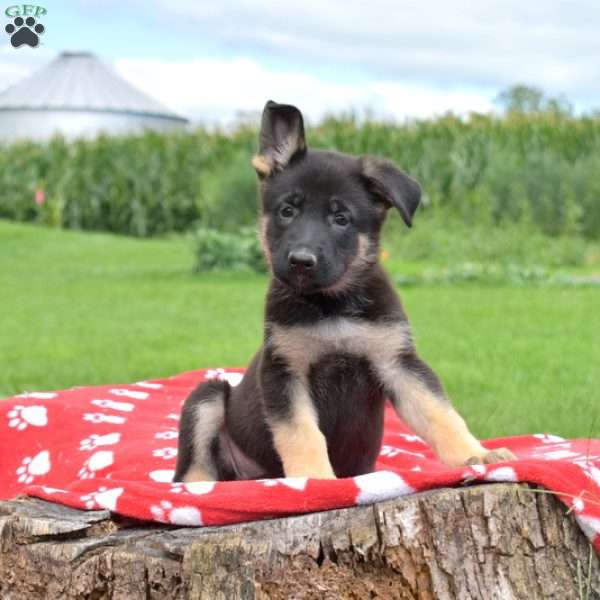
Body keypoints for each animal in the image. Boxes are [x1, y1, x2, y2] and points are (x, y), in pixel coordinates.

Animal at [175, 99, 516, 482]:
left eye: (341, 219)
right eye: (287, 210)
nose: (301, 261)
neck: (331, 305)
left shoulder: (397, 362)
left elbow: (439, 413)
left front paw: (477, 454)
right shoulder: (285, 372)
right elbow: (301, 433)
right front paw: (315, 478)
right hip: (207, 395)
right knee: (194, 466)